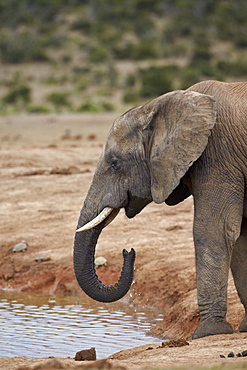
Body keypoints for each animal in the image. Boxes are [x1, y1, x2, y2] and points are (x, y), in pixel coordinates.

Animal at [74, 80, 247, 338]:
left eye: (114, 163)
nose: (128, 251)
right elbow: (241, 236)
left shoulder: (218, 156)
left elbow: (214, 230)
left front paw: (209, 333)